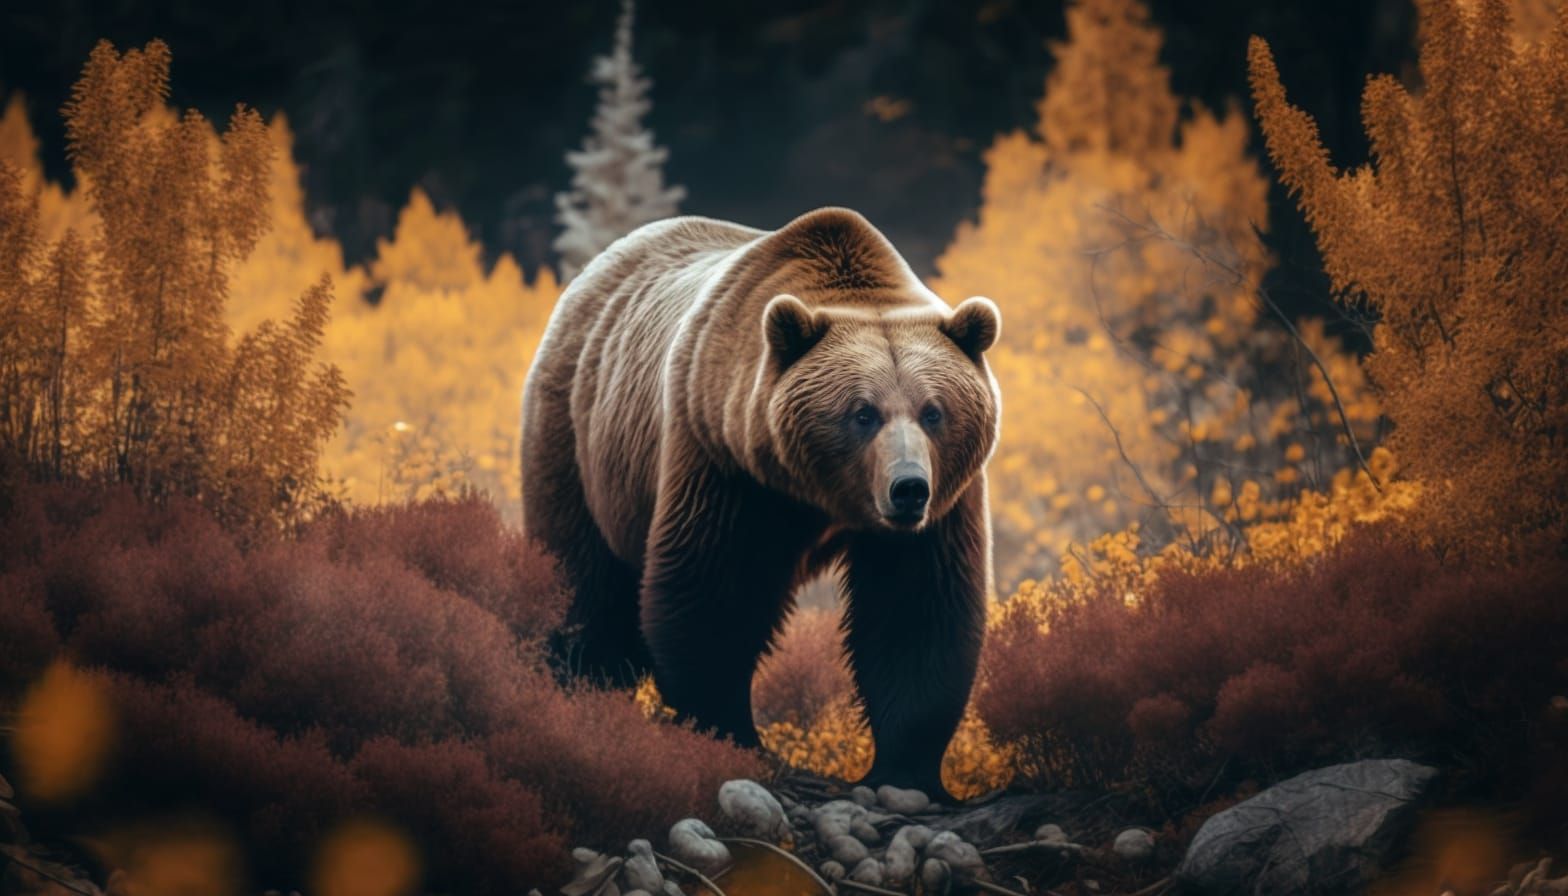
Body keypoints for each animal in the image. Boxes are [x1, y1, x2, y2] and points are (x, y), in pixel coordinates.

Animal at [520, 207, 1000, 800]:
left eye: (934, 411)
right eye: (862, 413)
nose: (908, 487)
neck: (820, 494)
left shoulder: (944, 504)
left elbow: (915, 609)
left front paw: (905, 772)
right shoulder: (725, 462)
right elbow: (714, 594)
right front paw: (732, 734)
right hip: (581, 439)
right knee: (586, 582)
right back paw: (581, 691)